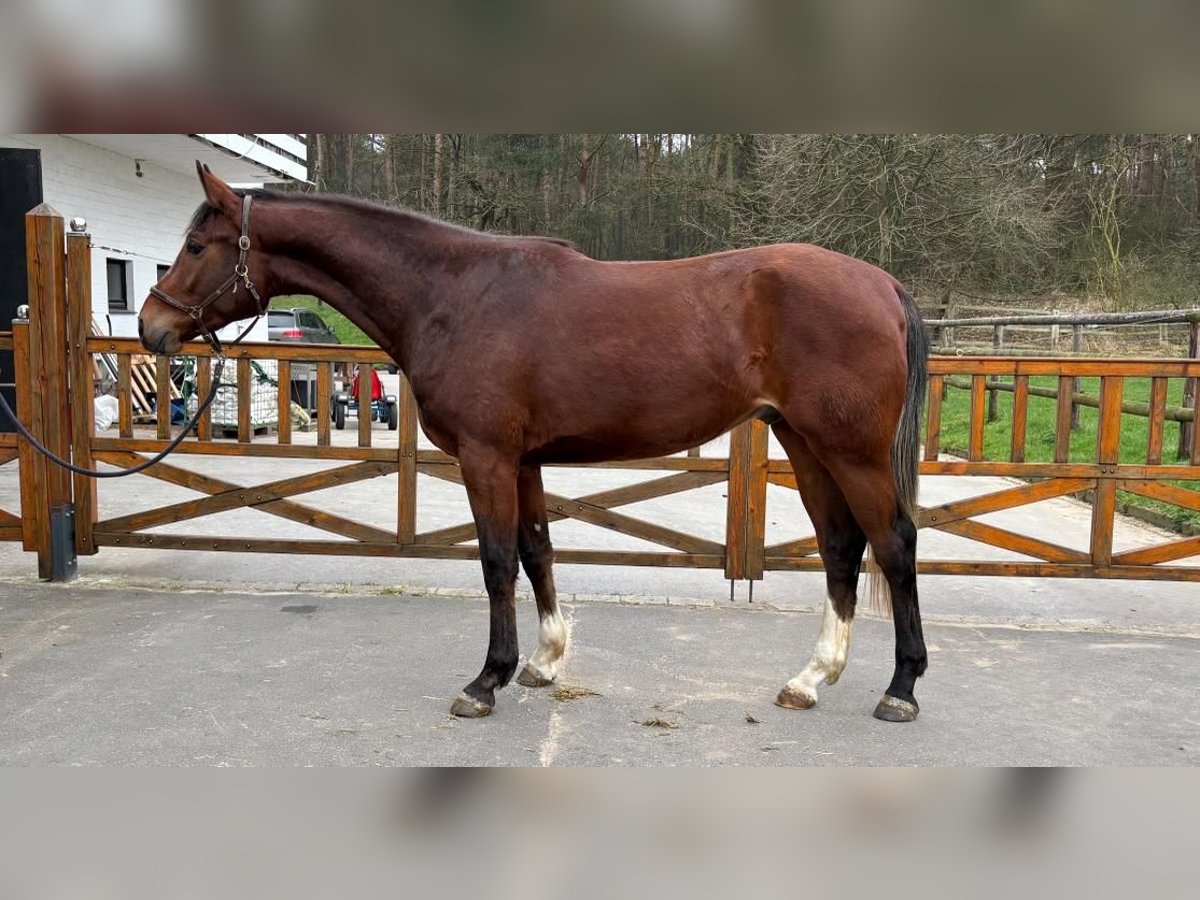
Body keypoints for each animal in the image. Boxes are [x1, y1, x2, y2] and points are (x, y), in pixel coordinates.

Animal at [138, 165, 926, 724]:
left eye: (197, 246)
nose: (151, 326)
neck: (451, 293)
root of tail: (883, 284)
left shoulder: (485, 457)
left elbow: (495, 562)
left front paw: (487, 679)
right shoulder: (522, 462)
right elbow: (537, 551)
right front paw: (543, 663)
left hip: (849, 450)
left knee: (893, 544)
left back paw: (901, 688)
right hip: (805, 442)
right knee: (840, 546)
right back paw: (811, 679)